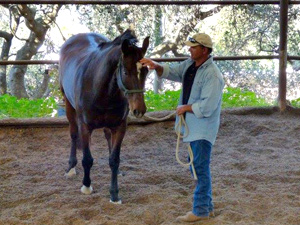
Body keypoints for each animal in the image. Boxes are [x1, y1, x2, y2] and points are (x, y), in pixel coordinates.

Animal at [59, 29, 150, 204]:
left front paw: (114, 194)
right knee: (73, 135)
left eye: (146, 71)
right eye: (125, 71)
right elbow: (87, 159)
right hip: (68, 107)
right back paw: (71, 167)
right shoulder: (85, 127)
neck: (98, 88)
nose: (139, 110)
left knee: (108, 137)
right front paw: (86, 186)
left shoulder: (120, 126)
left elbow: (114, 160)